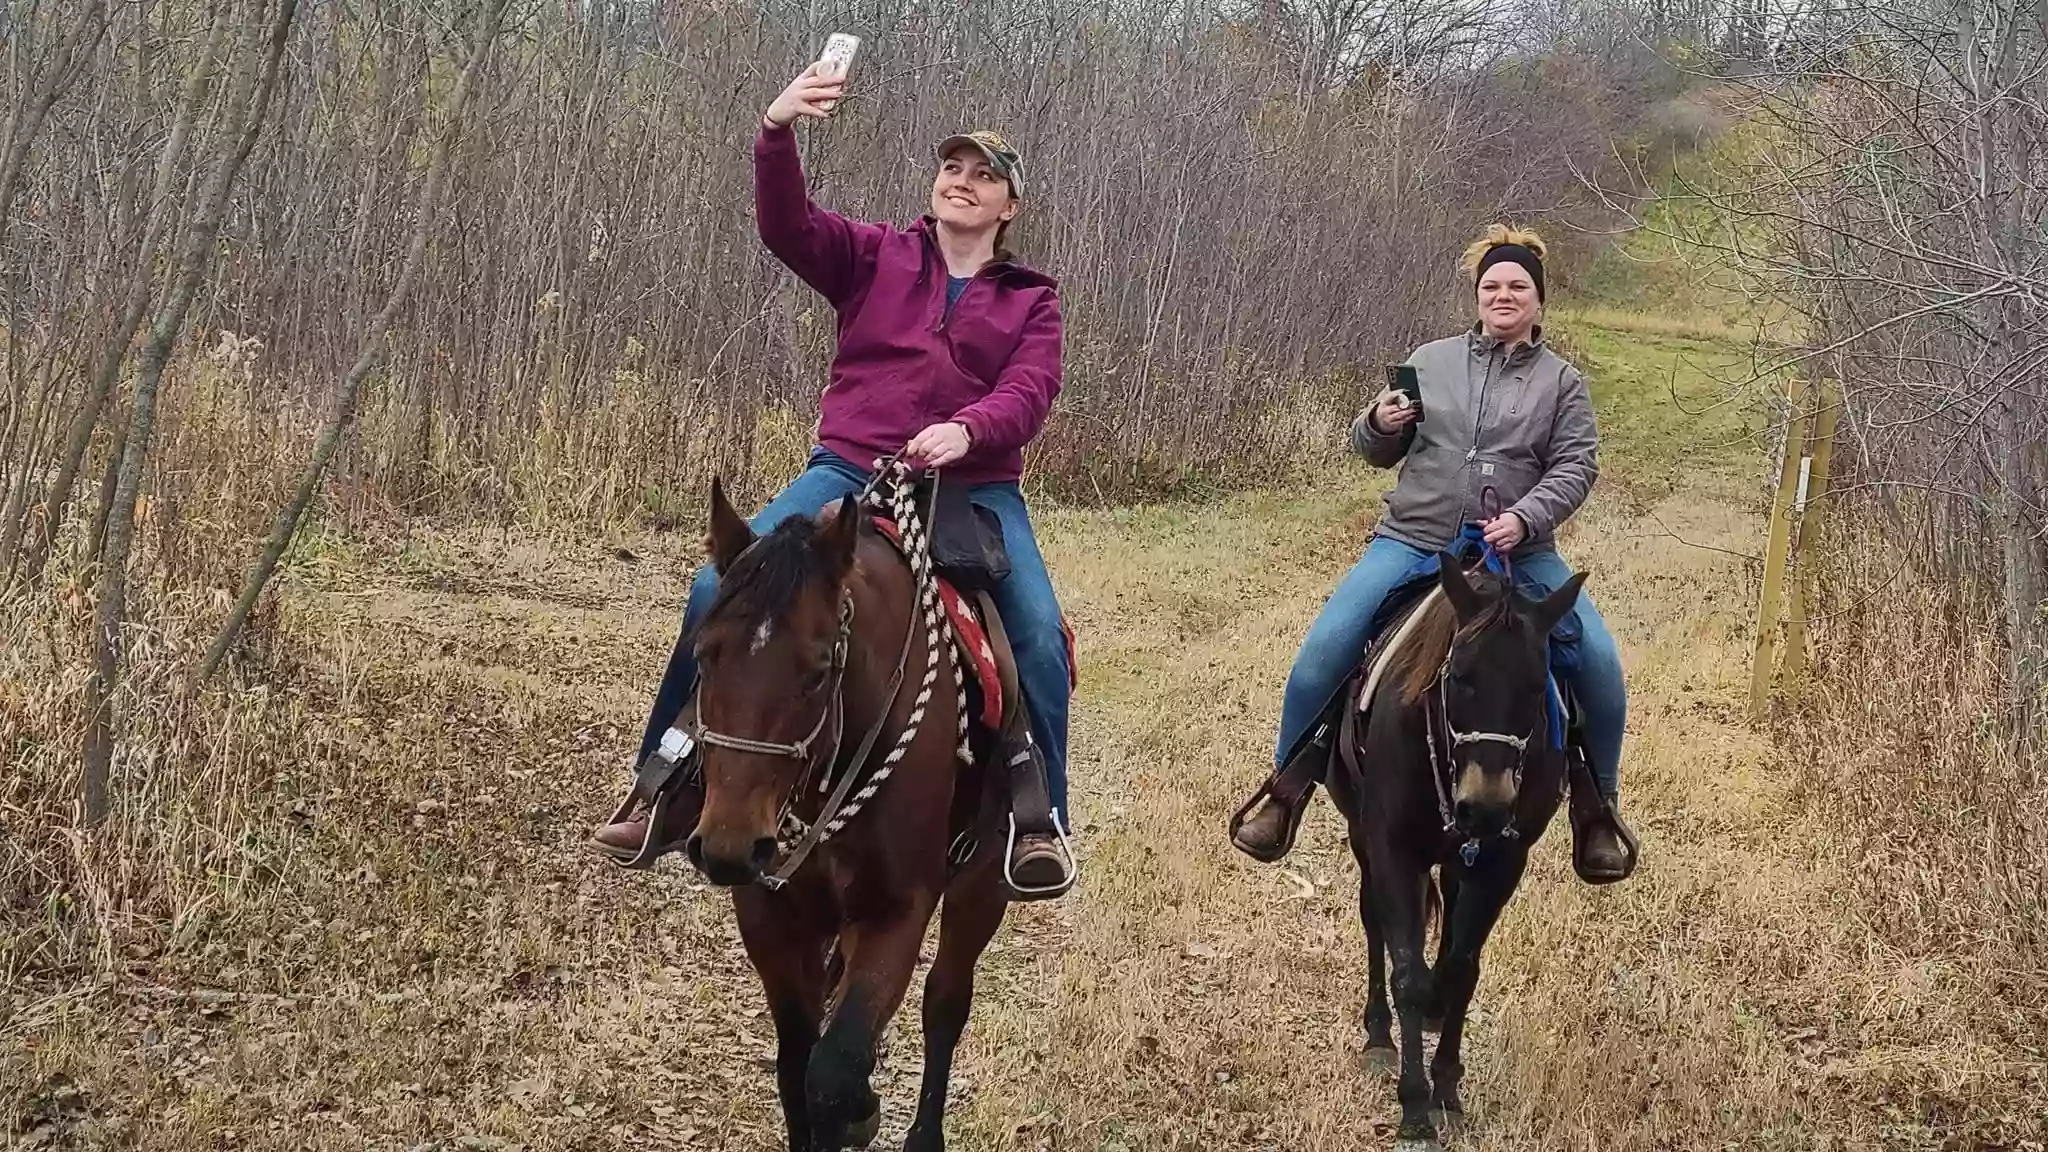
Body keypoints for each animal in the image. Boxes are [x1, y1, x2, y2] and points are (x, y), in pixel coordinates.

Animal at [684, 471, 1011, 1139]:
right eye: (703, 656)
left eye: (817, 672)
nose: (729, 847)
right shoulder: (770, 917)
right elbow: (796, 1068)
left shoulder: (897, 913)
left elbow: (832, 1074)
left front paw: (859, 1109)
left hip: (982, 882)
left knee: (945, 1001)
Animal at [1318, 553, 1589, 1139]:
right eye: (1459, 677)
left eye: (1537, 685)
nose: (1484, 807)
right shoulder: (1393, 849)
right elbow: (1407, 973)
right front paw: (1415, 1108)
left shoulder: (1502, 862)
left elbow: (1463, 970)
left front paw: (1445, 1092)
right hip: (1364, 837)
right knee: (1374, 922)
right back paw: (1379, 1035)